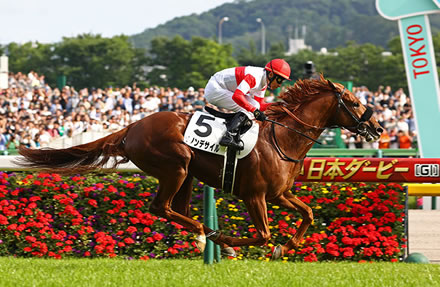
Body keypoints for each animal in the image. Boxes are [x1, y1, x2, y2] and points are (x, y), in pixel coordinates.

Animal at [17, 76, 382, 260]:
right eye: (354, 102)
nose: (377, 128)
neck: (282, 137)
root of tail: (132, 127)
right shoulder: (255, 195)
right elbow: (263, 234)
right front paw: (236, 242)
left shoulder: (280, 194)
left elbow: (307, 213)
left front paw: (286, 246)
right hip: (175, 167)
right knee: (160, 207)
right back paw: (205, 236)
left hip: (188, 175)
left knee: (175, 209)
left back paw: (205, 235)